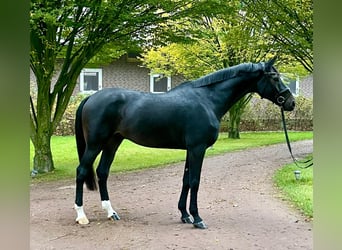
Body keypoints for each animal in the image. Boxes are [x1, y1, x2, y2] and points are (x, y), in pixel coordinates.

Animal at [74, 56, 294, 229]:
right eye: (275, 77)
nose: (291, 102)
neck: (207, 100)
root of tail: (91, 98)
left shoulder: (191, 149)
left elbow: (186, 180)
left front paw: (185, 215)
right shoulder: (197, 149)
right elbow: (195, 181)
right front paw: (197, 218)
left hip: (113, 142)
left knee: (102, 172)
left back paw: (111, 212)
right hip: (95, 144)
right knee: (82, 171)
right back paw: (81, 216)